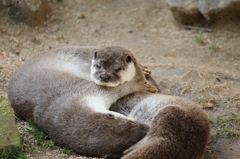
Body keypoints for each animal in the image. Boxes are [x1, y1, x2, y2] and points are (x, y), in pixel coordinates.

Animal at [7, 46, 156, 158]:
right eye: (133, 123)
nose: (148, 128)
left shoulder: (87, 89)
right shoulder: (91, 90)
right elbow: (123, 87)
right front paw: (140, 86)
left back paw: (144, 67)